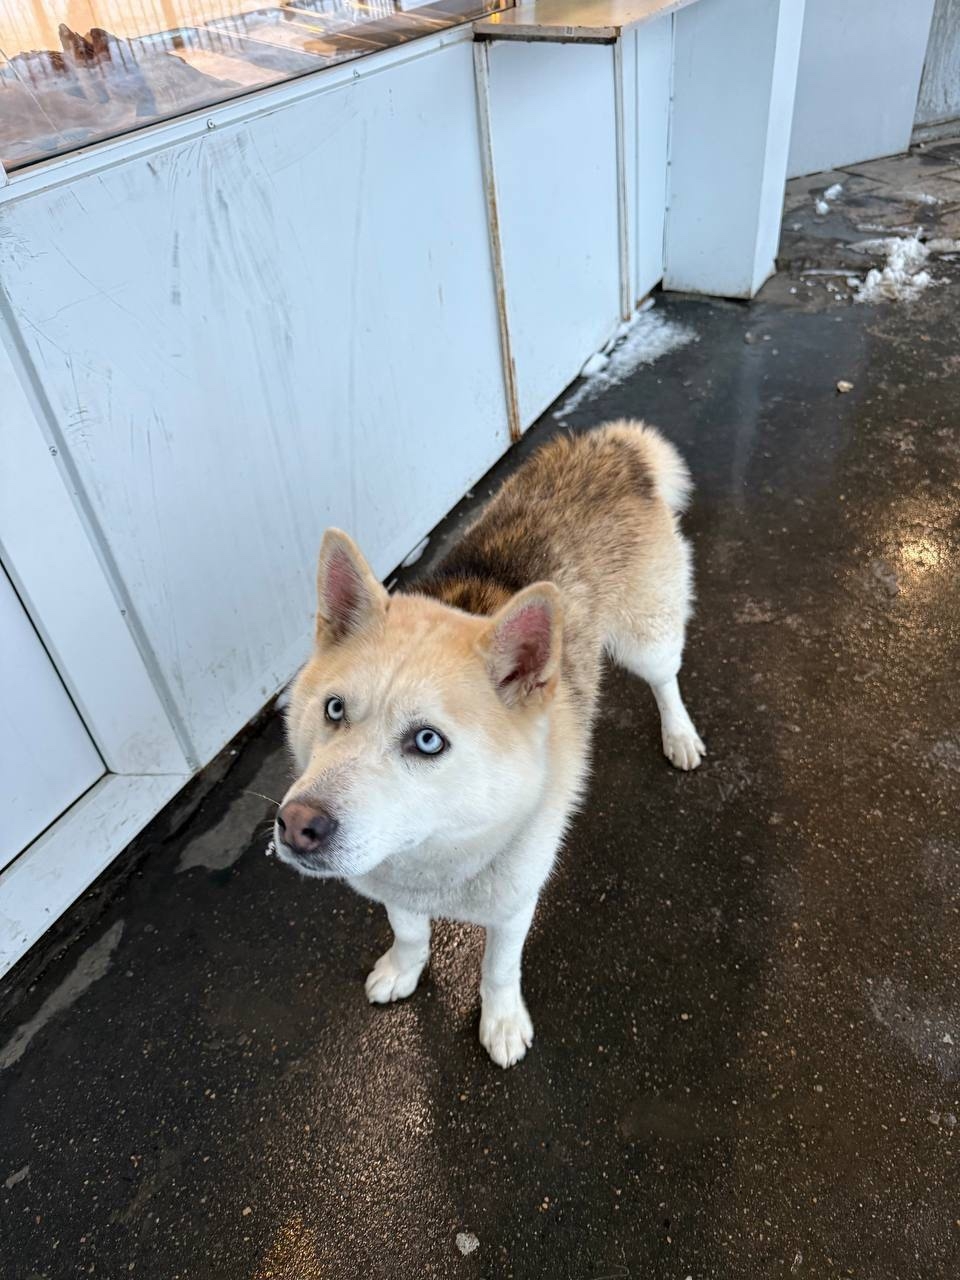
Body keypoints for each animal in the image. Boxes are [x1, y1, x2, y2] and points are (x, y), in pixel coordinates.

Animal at [273, 420, 704, 1067]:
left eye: (428, 740)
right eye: (334, 709)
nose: (296, 825)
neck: (439, 855)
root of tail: (609, 447)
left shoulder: (513, 906)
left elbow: (498, 969)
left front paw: (500, 1023)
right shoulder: (390, 881)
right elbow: (408, 930)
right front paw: (404, 967)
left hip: (645, 639)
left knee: (664, 678)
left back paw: (679, 734)